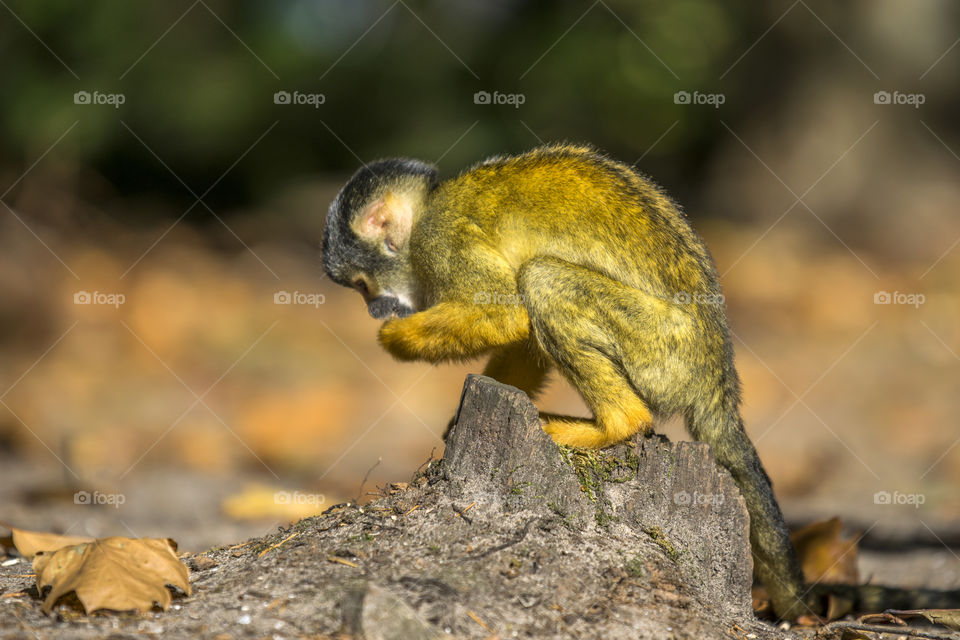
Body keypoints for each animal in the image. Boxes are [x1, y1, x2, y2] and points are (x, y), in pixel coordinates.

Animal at [321, 144, 957, 620]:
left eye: (362, 286)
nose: (375, 310)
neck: (428, 212)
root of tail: (717, 379)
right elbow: (520, 334)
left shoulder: (442, 241)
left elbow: (507, 314)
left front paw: (396, 341)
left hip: (660, 348)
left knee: (542, 279)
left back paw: (614, 427)